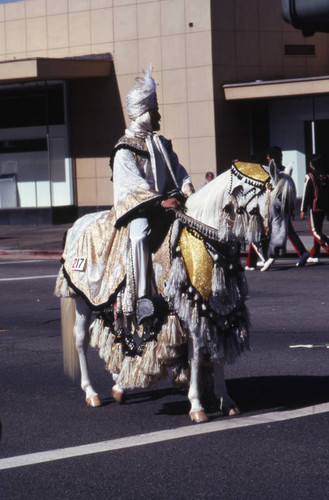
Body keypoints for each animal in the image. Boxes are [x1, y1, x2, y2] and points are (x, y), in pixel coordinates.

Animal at [56, 161, 294, 422]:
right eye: (278, 205)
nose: (278, 249)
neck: (206, 235)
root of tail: (77, 224)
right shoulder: (194, 306)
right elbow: (198, 353)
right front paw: (197, 406)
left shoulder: (218, 307)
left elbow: (217, 349)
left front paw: (226, 400)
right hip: (83, 298)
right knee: (80, 338)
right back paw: (91, 392)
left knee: (120, 334)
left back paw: (120, 386)